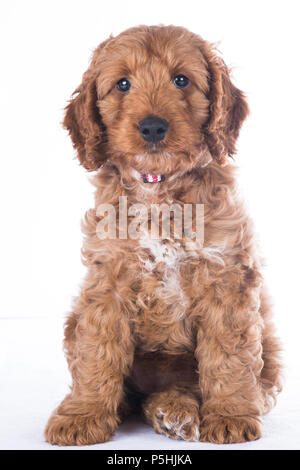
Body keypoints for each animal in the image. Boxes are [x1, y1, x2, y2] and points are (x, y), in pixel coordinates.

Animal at [44, 24, 282, 444]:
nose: (152, 126)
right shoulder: (108, 283)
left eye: (181, 79)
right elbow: (96, 354)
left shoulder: (227, 279)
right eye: (122, 84)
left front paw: (231, 416)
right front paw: (83, 415)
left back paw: (176, 410)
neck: (160, 192)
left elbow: (230, 356)